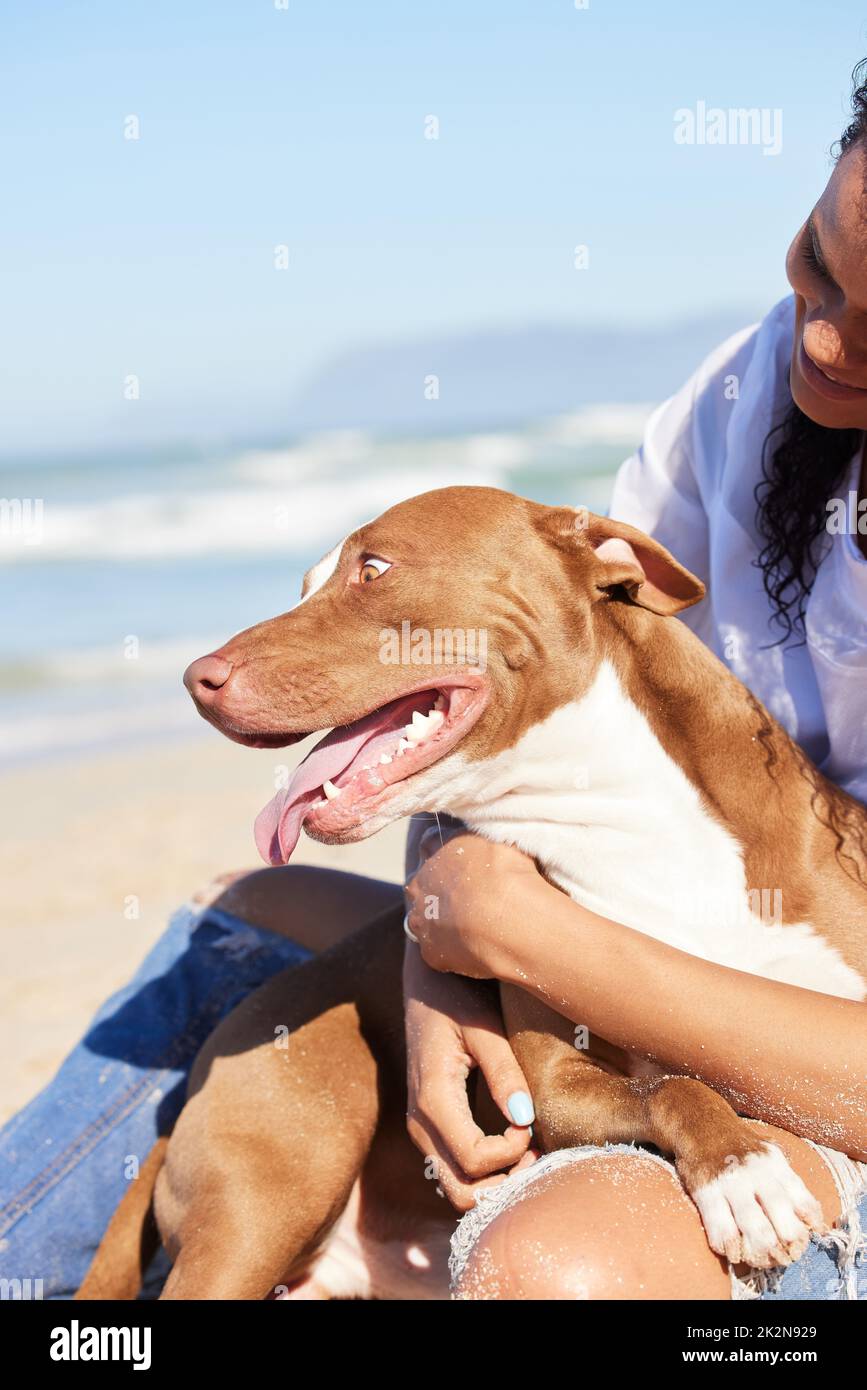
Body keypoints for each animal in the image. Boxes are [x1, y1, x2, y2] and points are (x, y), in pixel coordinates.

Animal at [79, 489, 867, 1301]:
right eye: (306, 587)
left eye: (372, 569)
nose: (195, 678)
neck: (625, 819)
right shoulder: (555, 1088)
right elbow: (673, 1087)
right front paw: (742, 1171)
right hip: (263, 1193)